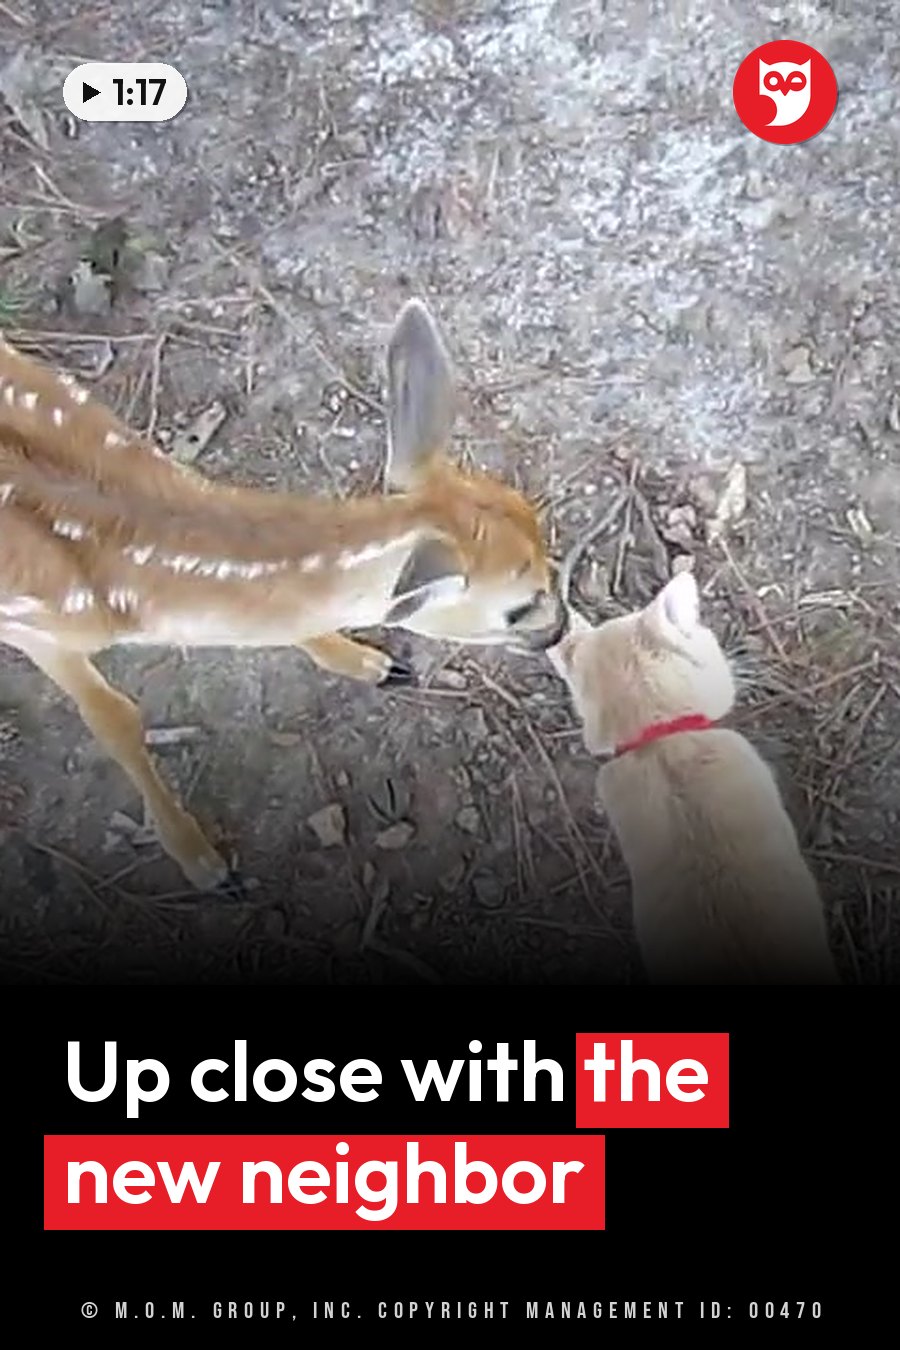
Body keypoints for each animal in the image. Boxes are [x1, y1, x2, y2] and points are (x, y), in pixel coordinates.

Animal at [0, 299, 567, 893]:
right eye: (519, 606)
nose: (561, 628)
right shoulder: (31, 626)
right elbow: (116, 718)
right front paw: (199, 859)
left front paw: (372, 663)